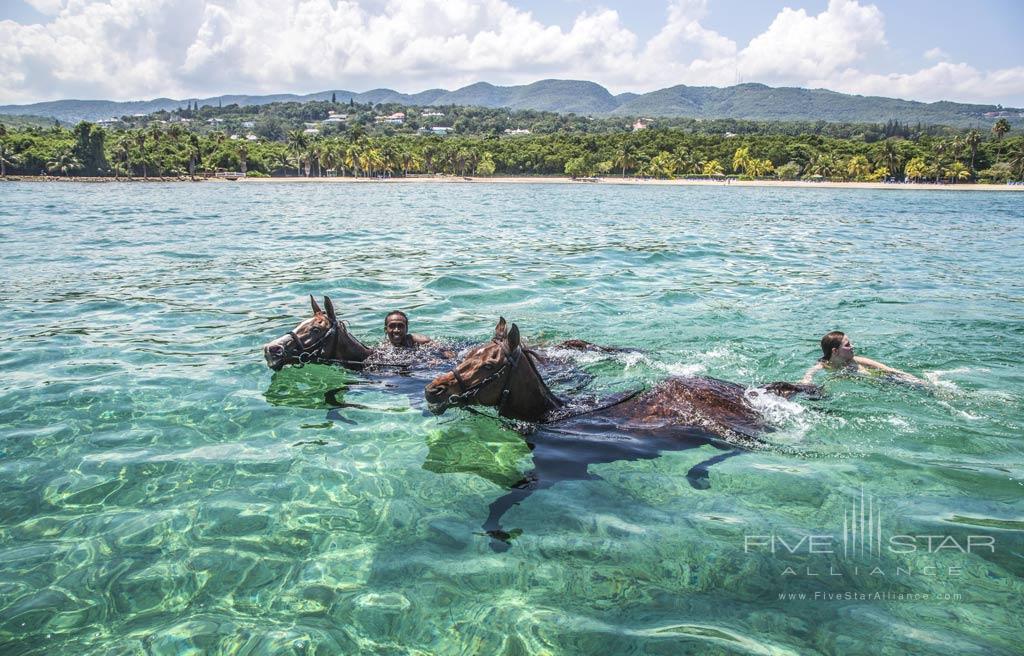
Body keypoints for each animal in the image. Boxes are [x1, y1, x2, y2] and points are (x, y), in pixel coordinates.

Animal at [421, 317, 815, 548]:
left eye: (490, 364)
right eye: (468, 353)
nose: (433, 390)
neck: (556, 416)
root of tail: (749, 390)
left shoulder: (558, 473)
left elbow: (500, 503)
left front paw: (497, 535)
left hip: (723, 431)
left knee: (748, 449)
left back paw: (697, 473)